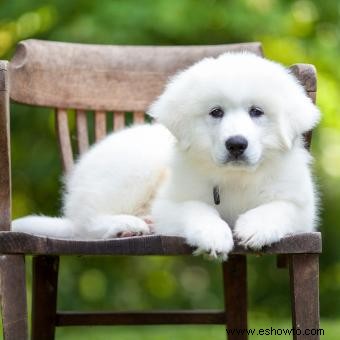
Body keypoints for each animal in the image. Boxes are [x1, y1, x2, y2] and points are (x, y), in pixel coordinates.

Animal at [13, 53, 320, 258]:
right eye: (216, 112)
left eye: (257, 112)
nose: (236, 144)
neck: (235, 177)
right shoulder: (170, 203)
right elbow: (198, 209)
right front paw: (213, 236)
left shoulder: (302, 209)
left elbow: (278, 207)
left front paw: (256, 228)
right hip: (131, 170)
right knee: (85, 222)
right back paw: (128, 225)